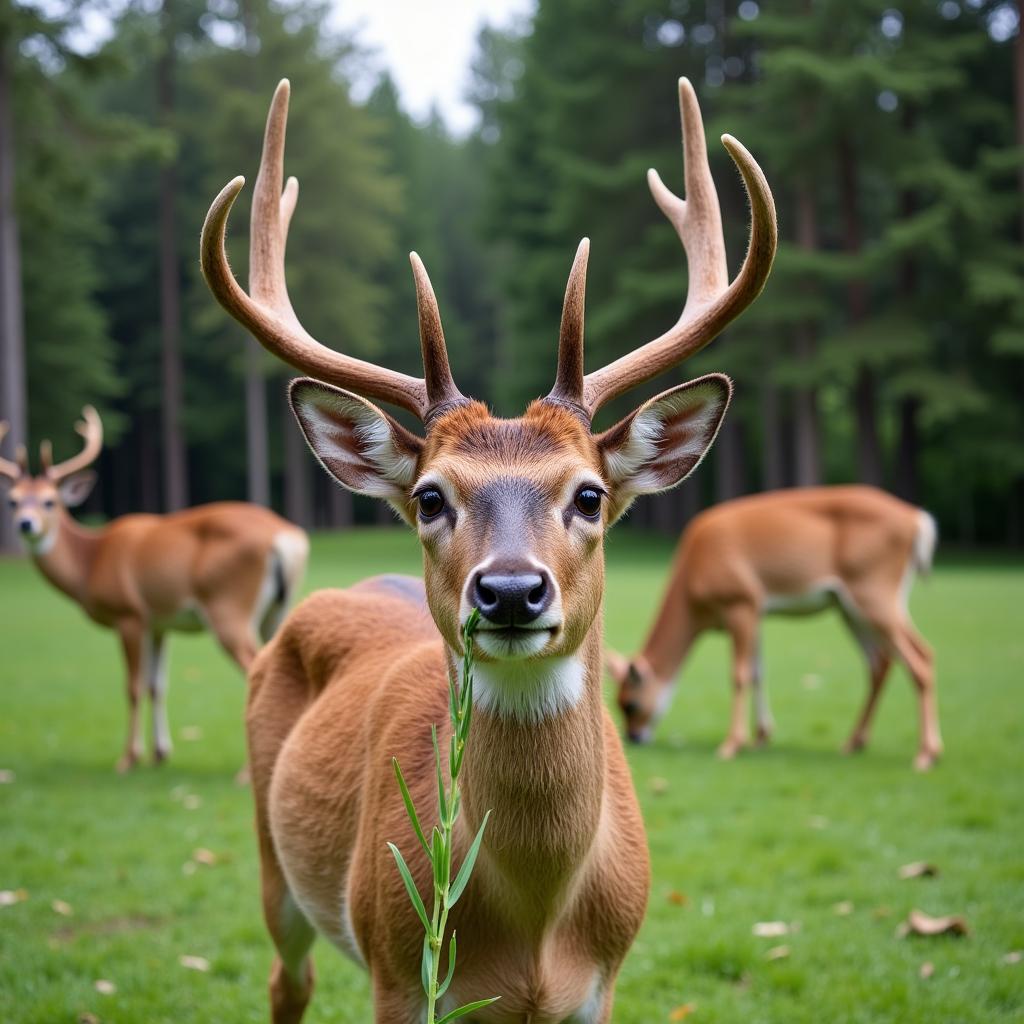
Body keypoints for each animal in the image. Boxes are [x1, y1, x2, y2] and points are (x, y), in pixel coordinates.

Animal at [0, 407, 307, 770]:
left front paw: (128, 758)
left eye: (50, 502)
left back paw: (247, 771)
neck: (90, 562)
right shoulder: (159, 622)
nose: (26, 524)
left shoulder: (129, 614)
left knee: (253, 667)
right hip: (276, 610)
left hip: (229, 605)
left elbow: (132, 686)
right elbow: (156, 685)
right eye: (12, 501)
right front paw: (160, 753)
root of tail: (286, 537)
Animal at [197, 79, 774, 1024]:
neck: (537, 926)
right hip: (276, 864)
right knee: (289, 980)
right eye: (432, 497)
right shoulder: (401, 973)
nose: (508, 592)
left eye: (589, 495)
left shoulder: (602, 987)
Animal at [606, 485, 942, 770]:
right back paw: (853, 743)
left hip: (875, 591)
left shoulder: (741, 601)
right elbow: (758, 671)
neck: (693, 593)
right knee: (881, 662)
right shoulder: (757, 612)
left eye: (630, 704)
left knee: (919, 658)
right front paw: (761, 736)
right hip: (852, 606)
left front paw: (731, 744)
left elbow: (740, 674)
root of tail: (917, 520)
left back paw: (926, 754)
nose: (635, 737)